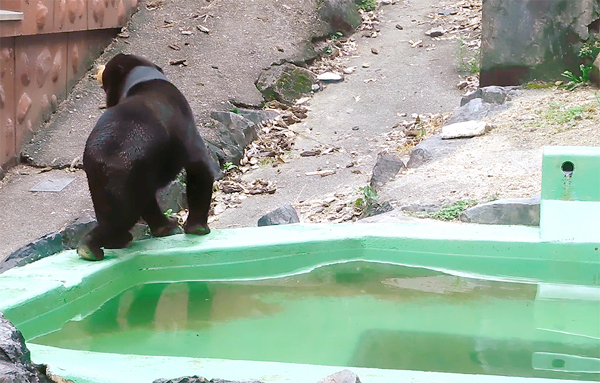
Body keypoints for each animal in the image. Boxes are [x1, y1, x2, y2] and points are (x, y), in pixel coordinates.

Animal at [78, 53, 216, 260]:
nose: (98, 69)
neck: (143, 78)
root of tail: (106, 157)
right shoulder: (187, 129)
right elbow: (199, 167)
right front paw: (198, 228)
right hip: (127, 179)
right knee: (123, 215)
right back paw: (92, 246)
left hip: (105, 179)